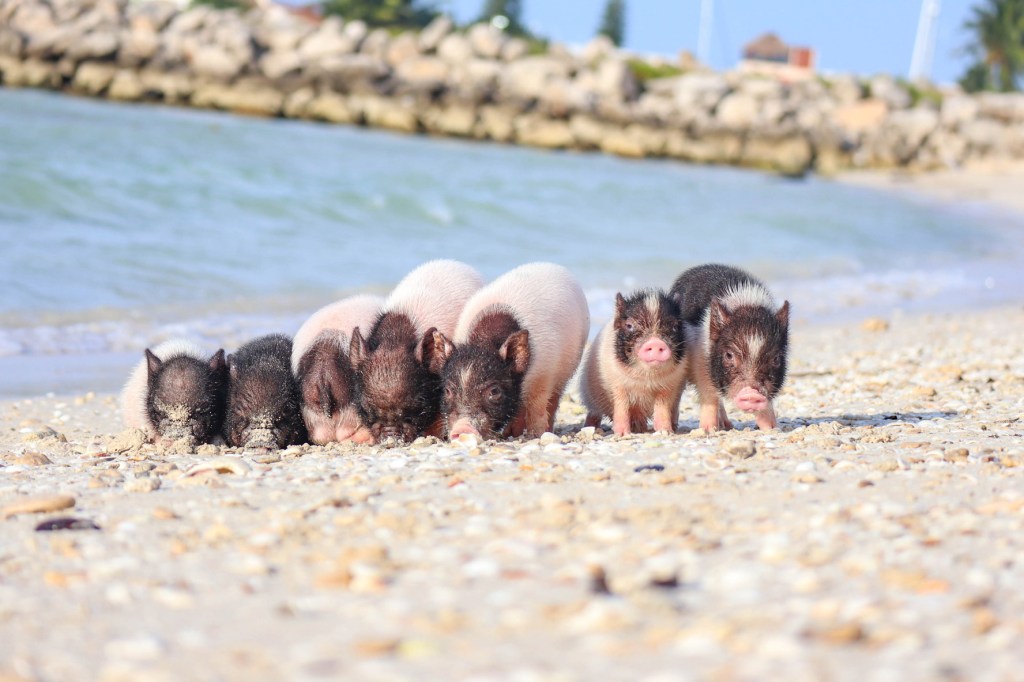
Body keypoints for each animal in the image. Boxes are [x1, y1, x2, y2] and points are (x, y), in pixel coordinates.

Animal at [432, 262, 590, 440]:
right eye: (447, 390)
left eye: (494, 391)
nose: (462, 428)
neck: (485, 343)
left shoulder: (544, 376)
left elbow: (536, 408)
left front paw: (536, 435)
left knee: (553, 401)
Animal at [579, 290, 687, 436]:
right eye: (629, 325)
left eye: (674, 326)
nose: (655, 342)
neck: (646, 381)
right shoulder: (617, 385)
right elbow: (622, 408)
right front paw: (622, 434)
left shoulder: (669, 387)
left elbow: (662, 409)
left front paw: (665, 432)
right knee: (594, 413)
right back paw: (592, 428)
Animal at [670, 264, 790, 431]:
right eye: (728, 355)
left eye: (776, 358)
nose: (752, 393)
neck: (746, 304)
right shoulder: (700, 360)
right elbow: (709, 394)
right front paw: (708, 429)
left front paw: (771, 428)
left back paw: (727, 426)